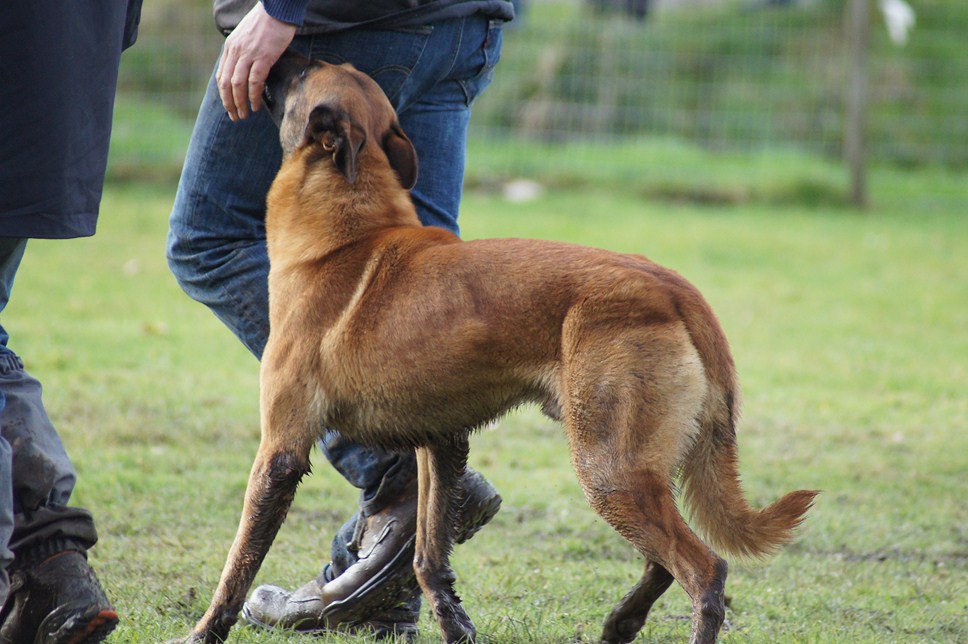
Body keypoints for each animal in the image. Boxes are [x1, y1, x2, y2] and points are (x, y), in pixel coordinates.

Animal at [176, 51, 816, 644]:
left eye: (308, 71)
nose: (264, 53)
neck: (348, 235)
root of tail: (671, 286)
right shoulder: (440, 443)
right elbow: (429, 557)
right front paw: (455, 626)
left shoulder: (280, 451)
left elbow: (237, 565)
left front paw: (204, 631)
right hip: (631, 471)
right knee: (663, 563)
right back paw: (620, 622)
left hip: (609, 468)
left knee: (704, 571)